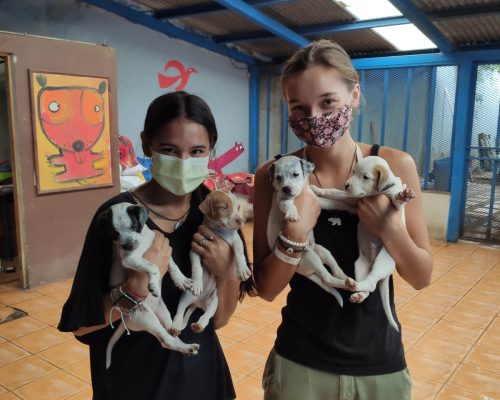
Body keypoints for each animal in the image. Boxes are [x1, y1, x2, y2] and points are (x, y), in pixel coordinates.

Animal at [99, 203, 201, 368]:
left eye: (134, 226)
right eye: (115, 233)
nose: (128, 245)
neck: (143, 241)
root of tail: (124, 318)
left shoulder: (160, 249)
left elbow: (172, 264)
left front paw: (180, 279)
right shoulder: (130, 259)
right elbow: (153, 266)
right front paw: (154, 284)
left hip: (163, 314)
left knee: (171, 333)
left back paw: (187, 347)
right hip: (147, 318)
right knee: (165, 341)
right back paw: (187, 348)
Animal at [171, 192, 250, 336]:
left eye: (238, 207)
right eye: (224, 207)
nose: (241, 220)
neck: (218, 231)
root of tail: (198, 303)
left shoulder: (236, 240)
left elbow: (239, 254)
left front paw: (242, 270)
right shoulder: (195, 249)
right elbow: (197, 268)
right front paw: (198, 284)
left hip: (214, 302)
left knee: (206, 316)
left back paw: (199, 325)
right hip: (186, 296)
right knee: (179, 312)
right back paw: (175, 327)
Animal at [266, 155, 356, 304]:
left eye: (296, 174)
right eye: (278, 177)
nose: (286, 188)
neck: (299, 194)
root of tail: (301, 271)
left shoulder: (318, 200)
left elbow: (336, 203)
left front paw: (351, 207)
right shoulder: (282, 200)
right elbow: (288, 204)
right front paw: (292, 213)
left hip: (323, 252)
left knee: (335, 271)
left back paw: (349, 280)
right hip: (311, 258)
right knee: (327, 279)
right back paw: (346, 284)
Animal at [312, 156, 414, 332]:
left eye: (365, 177)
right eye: (353, 172)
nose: (346, 184)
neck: (377, 193)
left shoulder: (390, 204)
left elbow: (396, 199)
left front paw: (403, 196)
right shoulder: (353, 201)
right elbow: (334, 193)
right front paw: (317, 192)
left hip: (382, 261)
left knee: (372, 284)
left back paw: (353, 286)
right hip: (360, 266)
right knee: (368, 287)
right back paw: (356, 292)